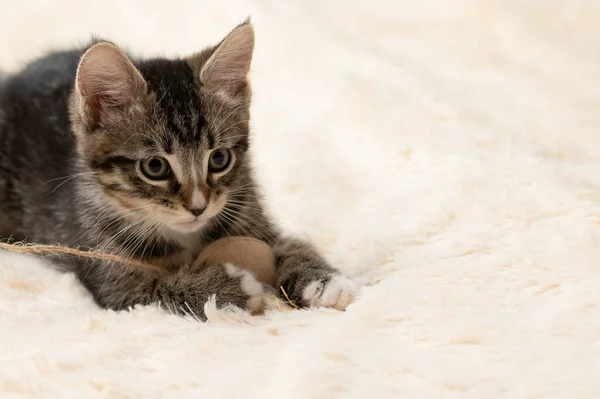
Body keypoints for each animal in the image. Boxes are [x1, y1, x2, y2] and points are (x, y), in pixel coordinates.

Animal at [0, 21, 358, 322]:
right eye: (155, 167)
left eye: (219, 159)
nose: (198, 206)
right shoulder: (115, 285)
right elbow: (159, 291)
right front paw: (229, 289)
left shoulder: (249, 210)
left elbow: (292, 244)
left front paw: (324, 281)